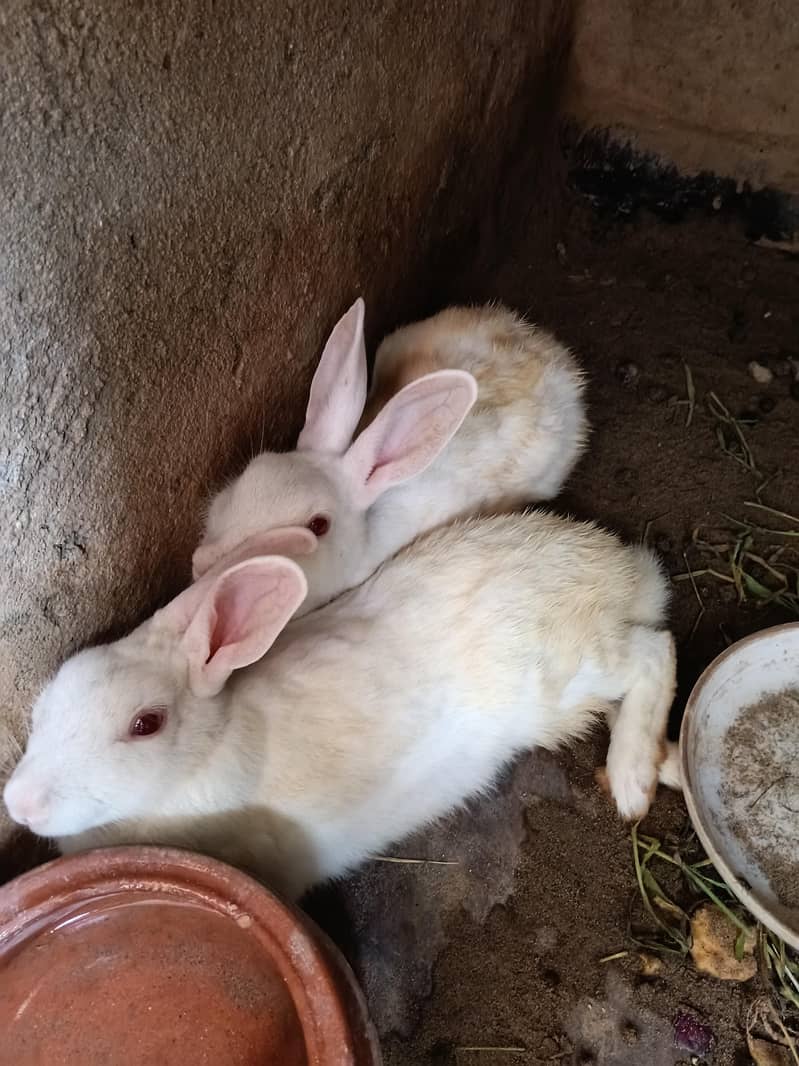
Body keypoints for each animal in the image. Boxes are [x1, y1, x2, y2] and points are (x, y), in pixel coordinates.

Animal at [5, 510, 676, 901]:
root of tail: (621, 572)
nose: (20, 804)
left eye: (145, 724)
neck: (207, 754)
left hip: (566, 676)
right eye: (50, 700)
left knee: (655, 652)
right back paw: (663, 763)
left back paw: (633, 782)